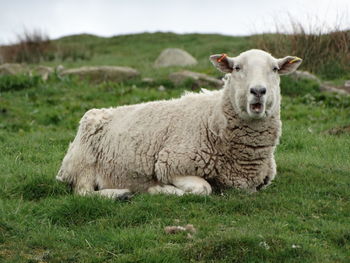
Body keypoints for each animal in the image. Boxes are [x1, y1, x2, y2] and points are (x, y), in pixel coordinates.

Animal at [56, 49, 302, 199]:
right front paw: (157, 189)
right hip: (83, 164)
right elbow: (203, 188)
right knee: (83, 192)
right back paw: (119, 194)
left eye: (275, 69)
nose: (258, 91)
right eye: (237, 68)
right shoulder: (169, 164)